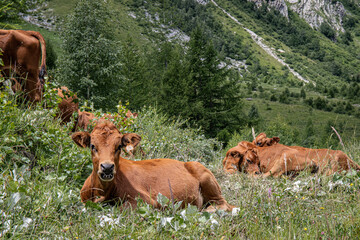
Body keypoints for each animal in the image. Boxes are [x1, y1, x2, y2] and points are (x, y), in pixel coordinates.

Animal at [72, 121, 233, 211]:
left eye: (119, 147)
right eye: (93, 146)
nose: (107, 167)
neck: (103, 192)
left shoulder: (147, 201)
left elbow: (123, 210)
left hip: (206, 178)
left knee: (224, 205)